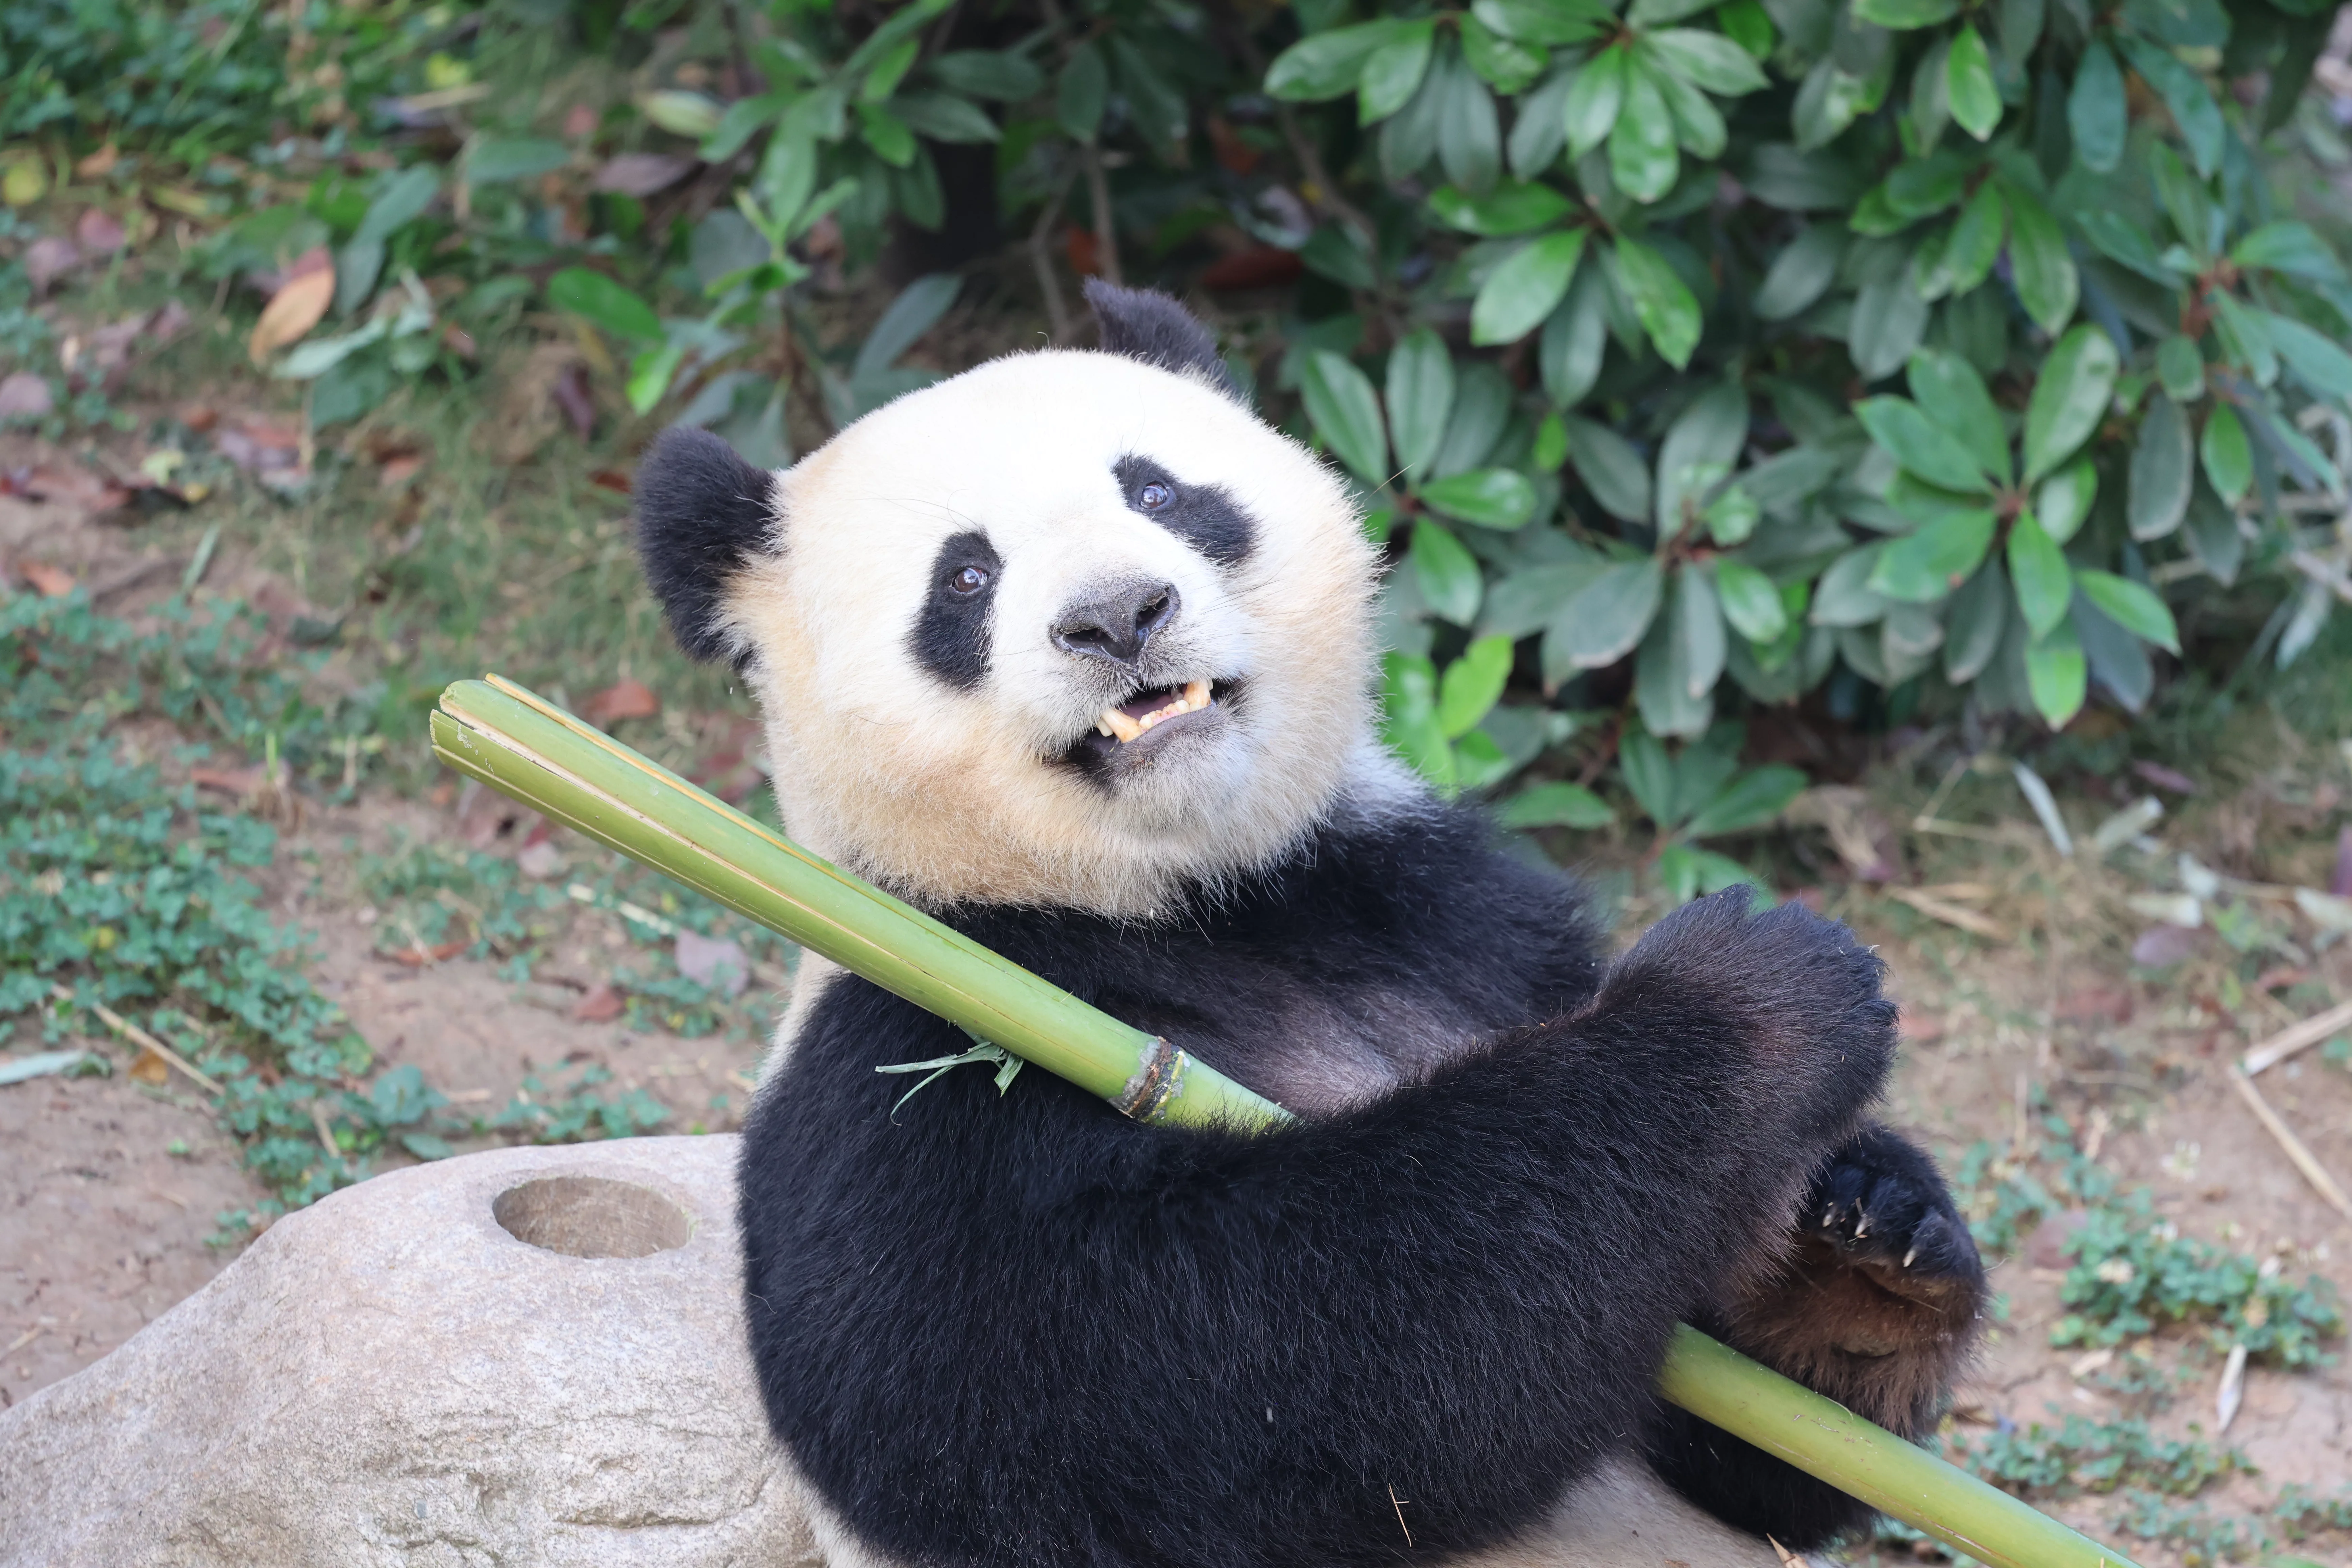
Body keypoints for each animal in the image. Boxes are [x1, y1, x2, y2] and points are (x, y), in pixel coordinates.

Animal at [633, 281, 1986, 1568]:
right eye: (965, 577)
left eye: (1160, 491)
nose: (1120, 615)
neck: (1186, 900)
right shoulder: (905, 1060)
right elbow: (1209, 1369)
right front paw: (1755, 1006)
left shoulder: (1449, 917)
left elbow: (1747, 1454)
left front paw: (1863, 1240)